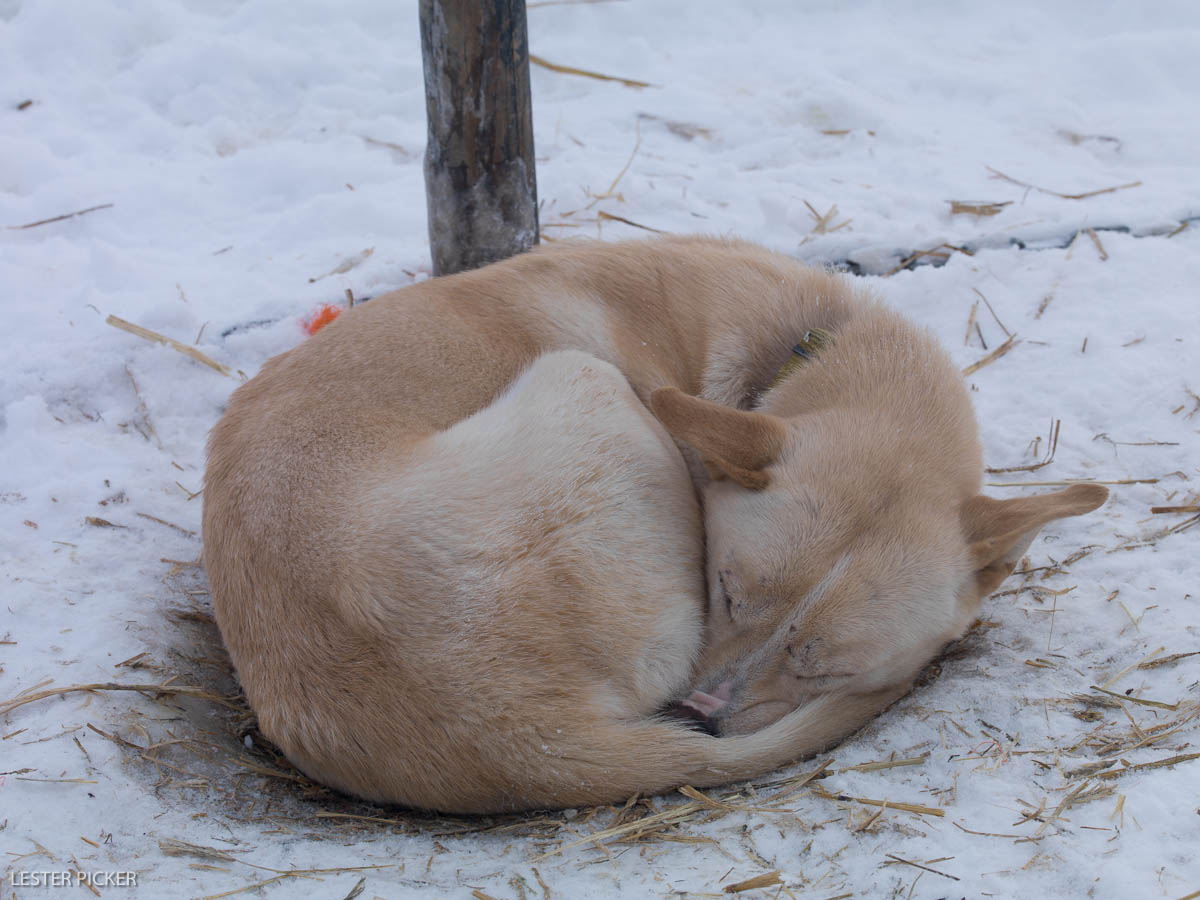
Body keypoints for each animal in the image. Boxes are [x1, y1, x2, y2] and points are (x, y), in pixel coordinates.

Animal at [204, 236, 1104, 816]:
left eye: (821, 663)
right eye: (726, 590)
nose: (703, 709)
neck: (807, 345)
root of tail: (525, 739)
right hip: (585, 381)